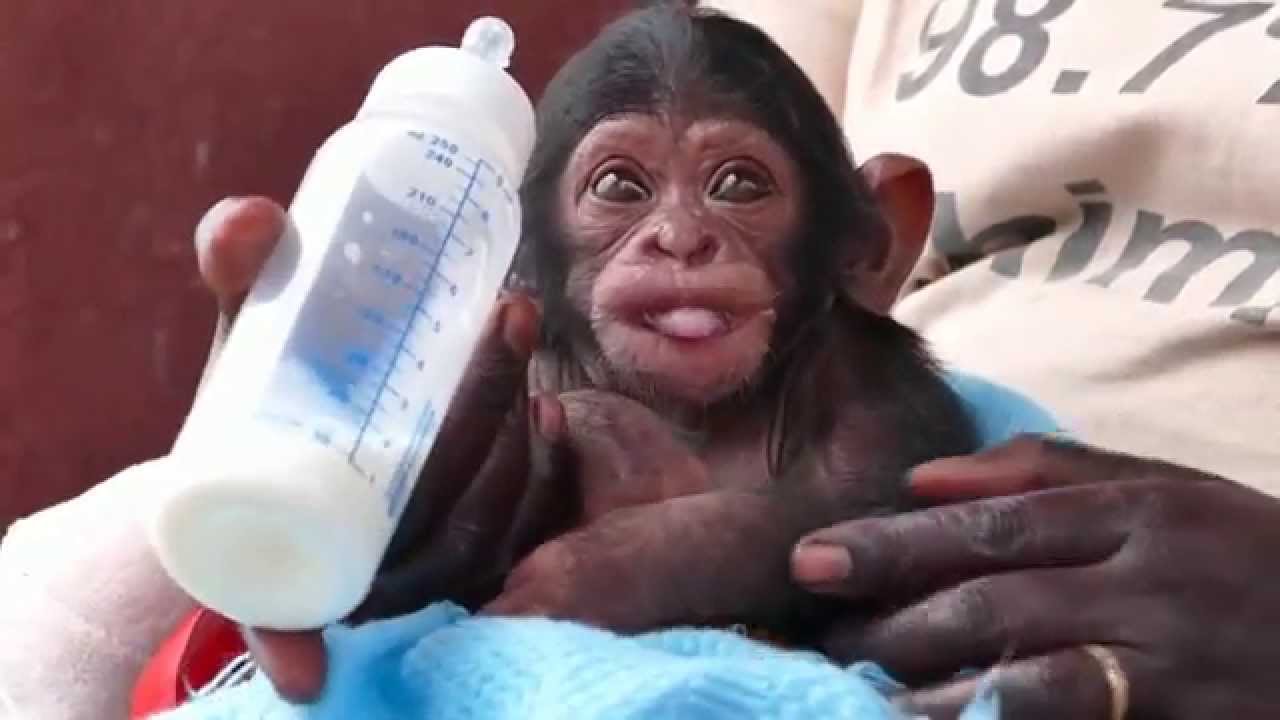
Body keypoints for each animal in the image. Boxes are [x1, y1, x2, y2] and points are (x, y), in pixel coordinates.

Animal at [479, 3, 981, 646]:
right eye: (619, 187)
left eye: (739, 185)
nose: (682, 239)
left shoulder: (873, 372)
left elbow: (871, 496)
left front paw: (596, 568)